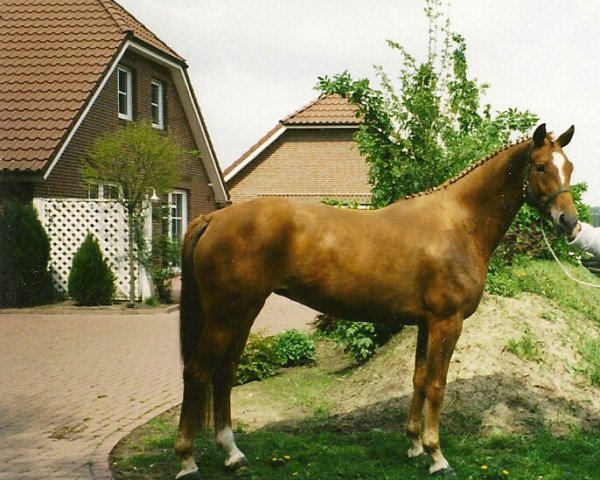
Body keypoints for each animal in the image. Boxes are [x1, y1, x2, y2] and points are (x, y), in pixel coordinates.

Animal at [175, 124, 580, 480]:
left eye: (570, 167)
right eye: (540, 166)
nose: (569, 222)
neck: (458, 223)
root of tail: (214, 217)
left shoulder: (425, 324)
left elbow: (418, 379)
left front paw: (414, 446)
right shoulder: (447, 323)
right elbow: (437, 385)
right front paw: (437, 456)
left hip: (244, 312)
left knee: (224, 373)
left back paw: (233, 454)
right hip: (225, 315)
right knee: (197, 371)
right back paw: (187, 461)